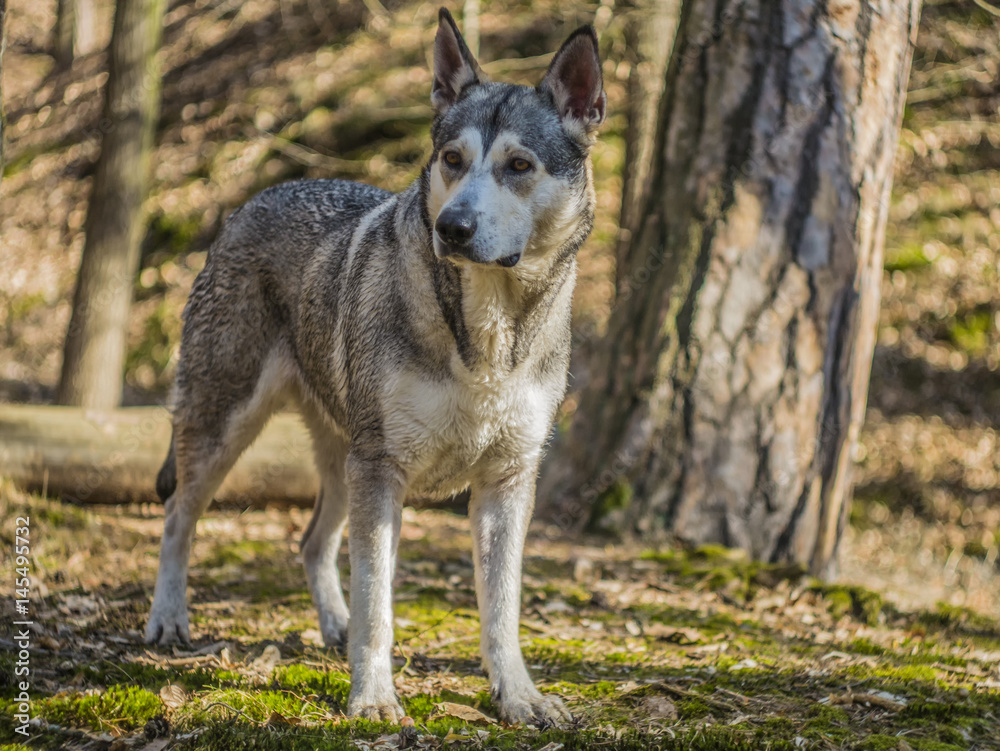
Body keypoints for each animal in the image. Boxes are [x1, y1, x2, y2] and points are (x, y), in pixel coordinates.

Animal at [144, 8, 604, 728]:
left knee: (311, 542)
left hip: (340, 460)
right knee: (177, 516)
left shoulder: (506, 481)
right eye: (453, 160)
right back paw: (168, 619)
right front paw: (374, 699)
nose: (453, 227)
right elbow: (377, 606)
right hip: (227, 427)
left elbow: (500, 612)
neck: (486, 331)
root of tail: (254, 199)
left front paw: (519, 697)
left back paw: (330, 624)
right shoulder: (383, 470)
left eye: (519, 165)